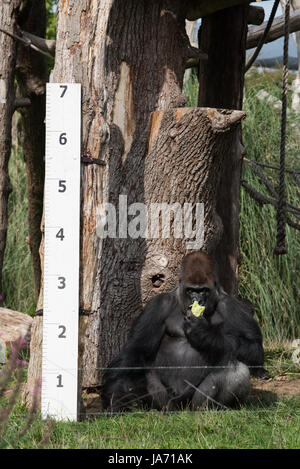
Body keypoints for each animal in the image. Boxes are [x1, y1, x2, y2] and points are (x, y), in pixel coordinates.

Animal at [102, 250, 266, 412]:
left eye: (203, 290)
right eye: (191, 290)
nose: (197, 300)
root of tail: (182, 409)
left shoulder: (232, 306)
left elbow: (254, 349)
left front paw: (204, 333)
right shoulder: (158, 305)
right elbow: (135, 349)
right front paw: (114, 399)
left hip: (194, 404)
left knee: (236, 369)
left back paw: (214, 408)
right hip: (168, 403)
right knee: (138, 369)